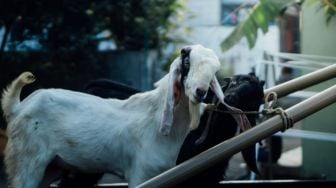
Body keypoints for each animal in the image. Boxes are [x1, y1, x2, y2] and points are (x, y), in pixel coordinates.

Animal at [1, 44, 226, 188]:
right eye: (187, 62)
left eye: (214, 70)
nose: (200, 92)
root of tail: (17, 107)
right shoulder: (140, 174)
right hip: (26, 163)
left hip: (51, 167)